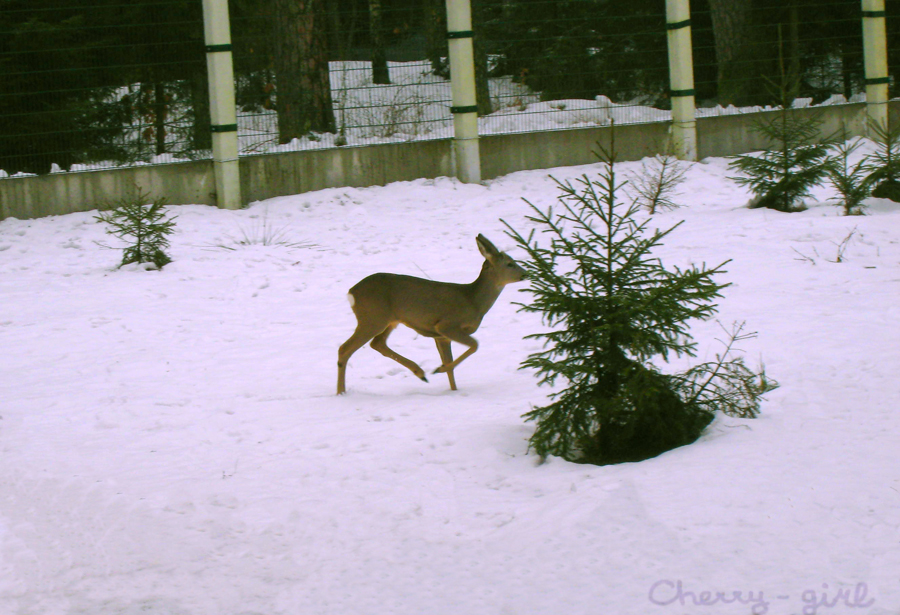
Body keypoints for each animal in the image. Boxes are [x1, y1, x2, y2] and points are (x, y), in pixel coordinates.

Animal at [338, 233, 528, 398]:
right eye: (510, 263)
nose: (526, 273)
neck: (473, 301)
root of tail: (351, 292)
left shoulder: (440, 336)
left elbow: (451, 365)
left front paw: (452, 389)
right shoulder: (447, 325)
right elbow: (474, 345)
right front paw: (439, 369)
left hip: (389, 320)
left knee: (377, 343)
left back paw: (420, 373)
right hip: (373, 318)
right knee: (345, 348)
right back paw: (341, 393)